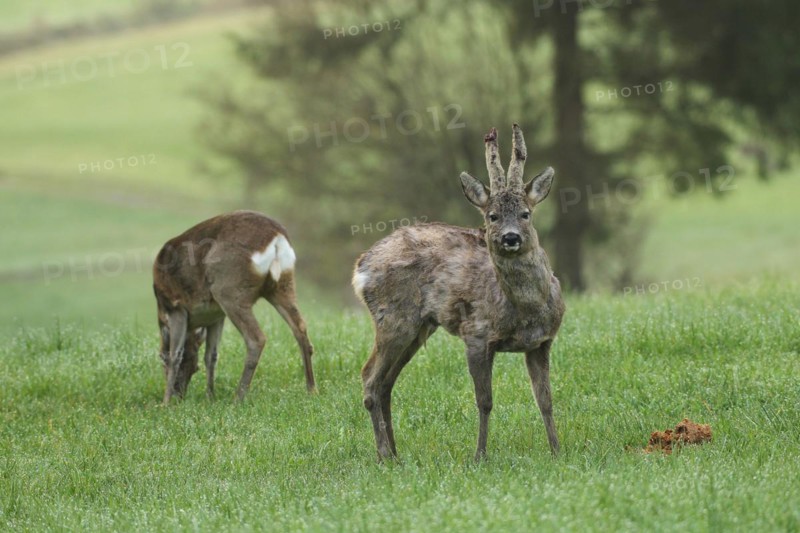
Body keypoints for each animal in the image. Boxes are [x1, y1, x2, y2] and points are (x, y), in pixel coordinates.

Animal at [153, 211, 316, 404]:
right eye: (195, 367)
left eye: (161, 359)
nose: (179, 395)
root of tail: (277, 237)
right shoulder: (216, 316)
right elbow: (211, 356)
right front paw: (210, 397)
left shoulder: (175, 306)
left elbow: (175, 355)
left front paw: (165, 403)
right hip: (284, 284)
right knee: (300, 327)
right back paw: (311, 390)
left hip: (229, 290)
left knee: (256, 338)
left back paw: (238, 397)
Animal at [352, 124, 565, 461]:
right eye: (492, 216)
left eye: (525, 213)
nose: (510, 238)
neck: (526, 309)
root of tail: (361, 266)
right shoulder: (476, 334)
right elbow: (485, 401)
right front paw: (480, 456)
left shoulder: (542, 342)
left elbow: (545, 400)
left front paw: (557, 451)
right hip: (394, 319)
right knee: (370, 378)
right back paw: (384, 455)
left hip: (419, 328)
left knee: (386, 382)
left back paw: (396, 454)